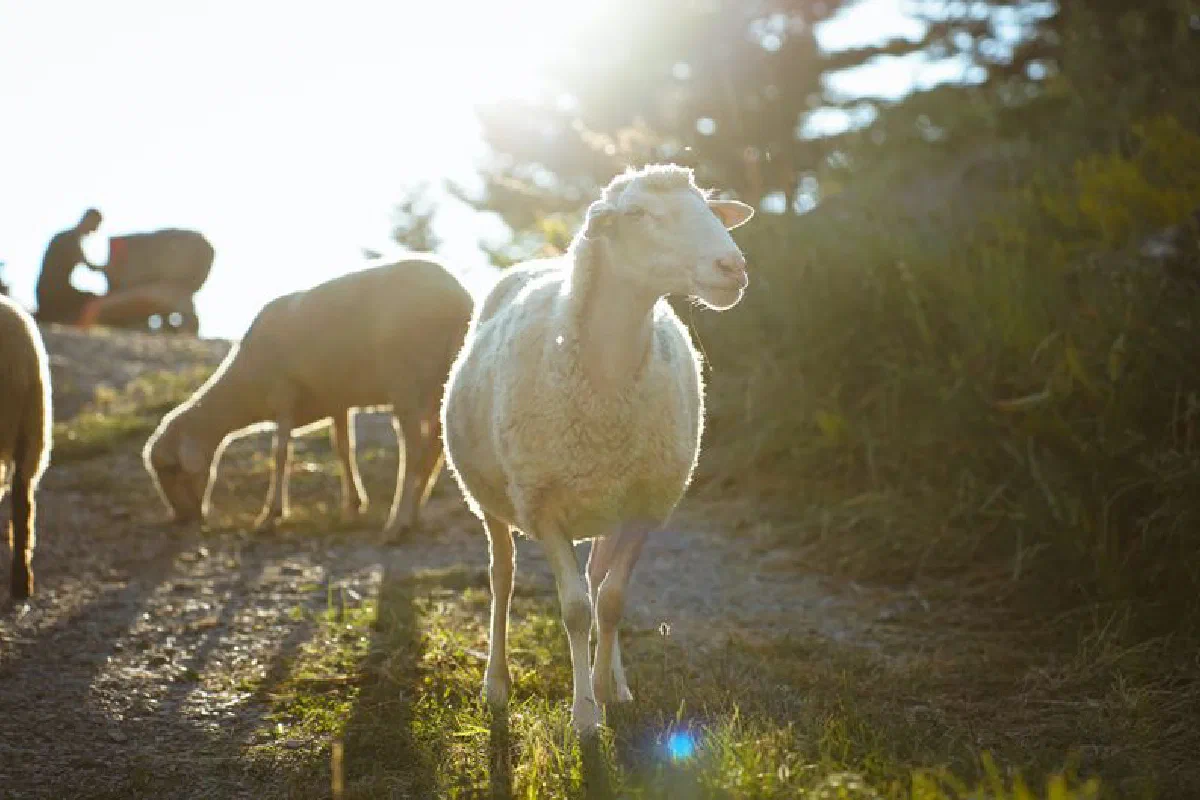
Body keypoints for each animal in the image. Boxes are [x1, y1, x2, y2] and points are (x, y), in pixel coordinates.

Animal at [143, 256, 474, 538]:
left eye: (171, 470)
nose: (182, 518)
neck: (243, 389)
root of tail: (458, 298)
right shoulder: (338, 401)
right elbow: (343, 448)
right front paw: (352, 507)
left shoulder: (284, 394)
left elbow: (280, 453)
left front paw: (270, 515)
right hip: (438, 386)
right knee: (435, 449)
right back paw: (413, 516)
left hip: (407, 382)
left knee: (415, 452)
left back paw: (397, 523)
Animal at [440, 163, 755, 736]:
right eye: (637, 214)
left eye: (709, 208)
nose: (732, 266)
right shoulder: (544, 506)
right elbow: (575, 611)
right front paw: (584, 716)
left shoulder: (645, 505)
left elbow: (610, 601)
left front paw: (606, 689)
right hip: (490, 499)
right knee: (503, 579)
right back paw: (496, 684)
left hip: (608, 498)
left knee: (596, 577)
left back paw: (614, 679)